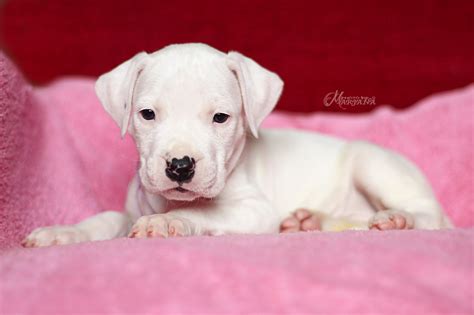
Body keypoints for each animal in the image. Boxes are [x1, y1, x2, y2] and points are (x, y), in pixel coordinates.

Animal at [22, 43, 452, 248]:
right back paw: (309, 222)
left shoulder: (254, 212)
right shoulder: (129, 212)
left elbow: (202, 213)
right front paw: (59, 234)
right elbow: (105, 219)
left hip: (373, 163)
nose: (180, 166)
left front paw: (167, 223)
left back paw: (397, 219)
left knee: (431, 216)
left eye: (220, 118)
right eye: (147, 114)